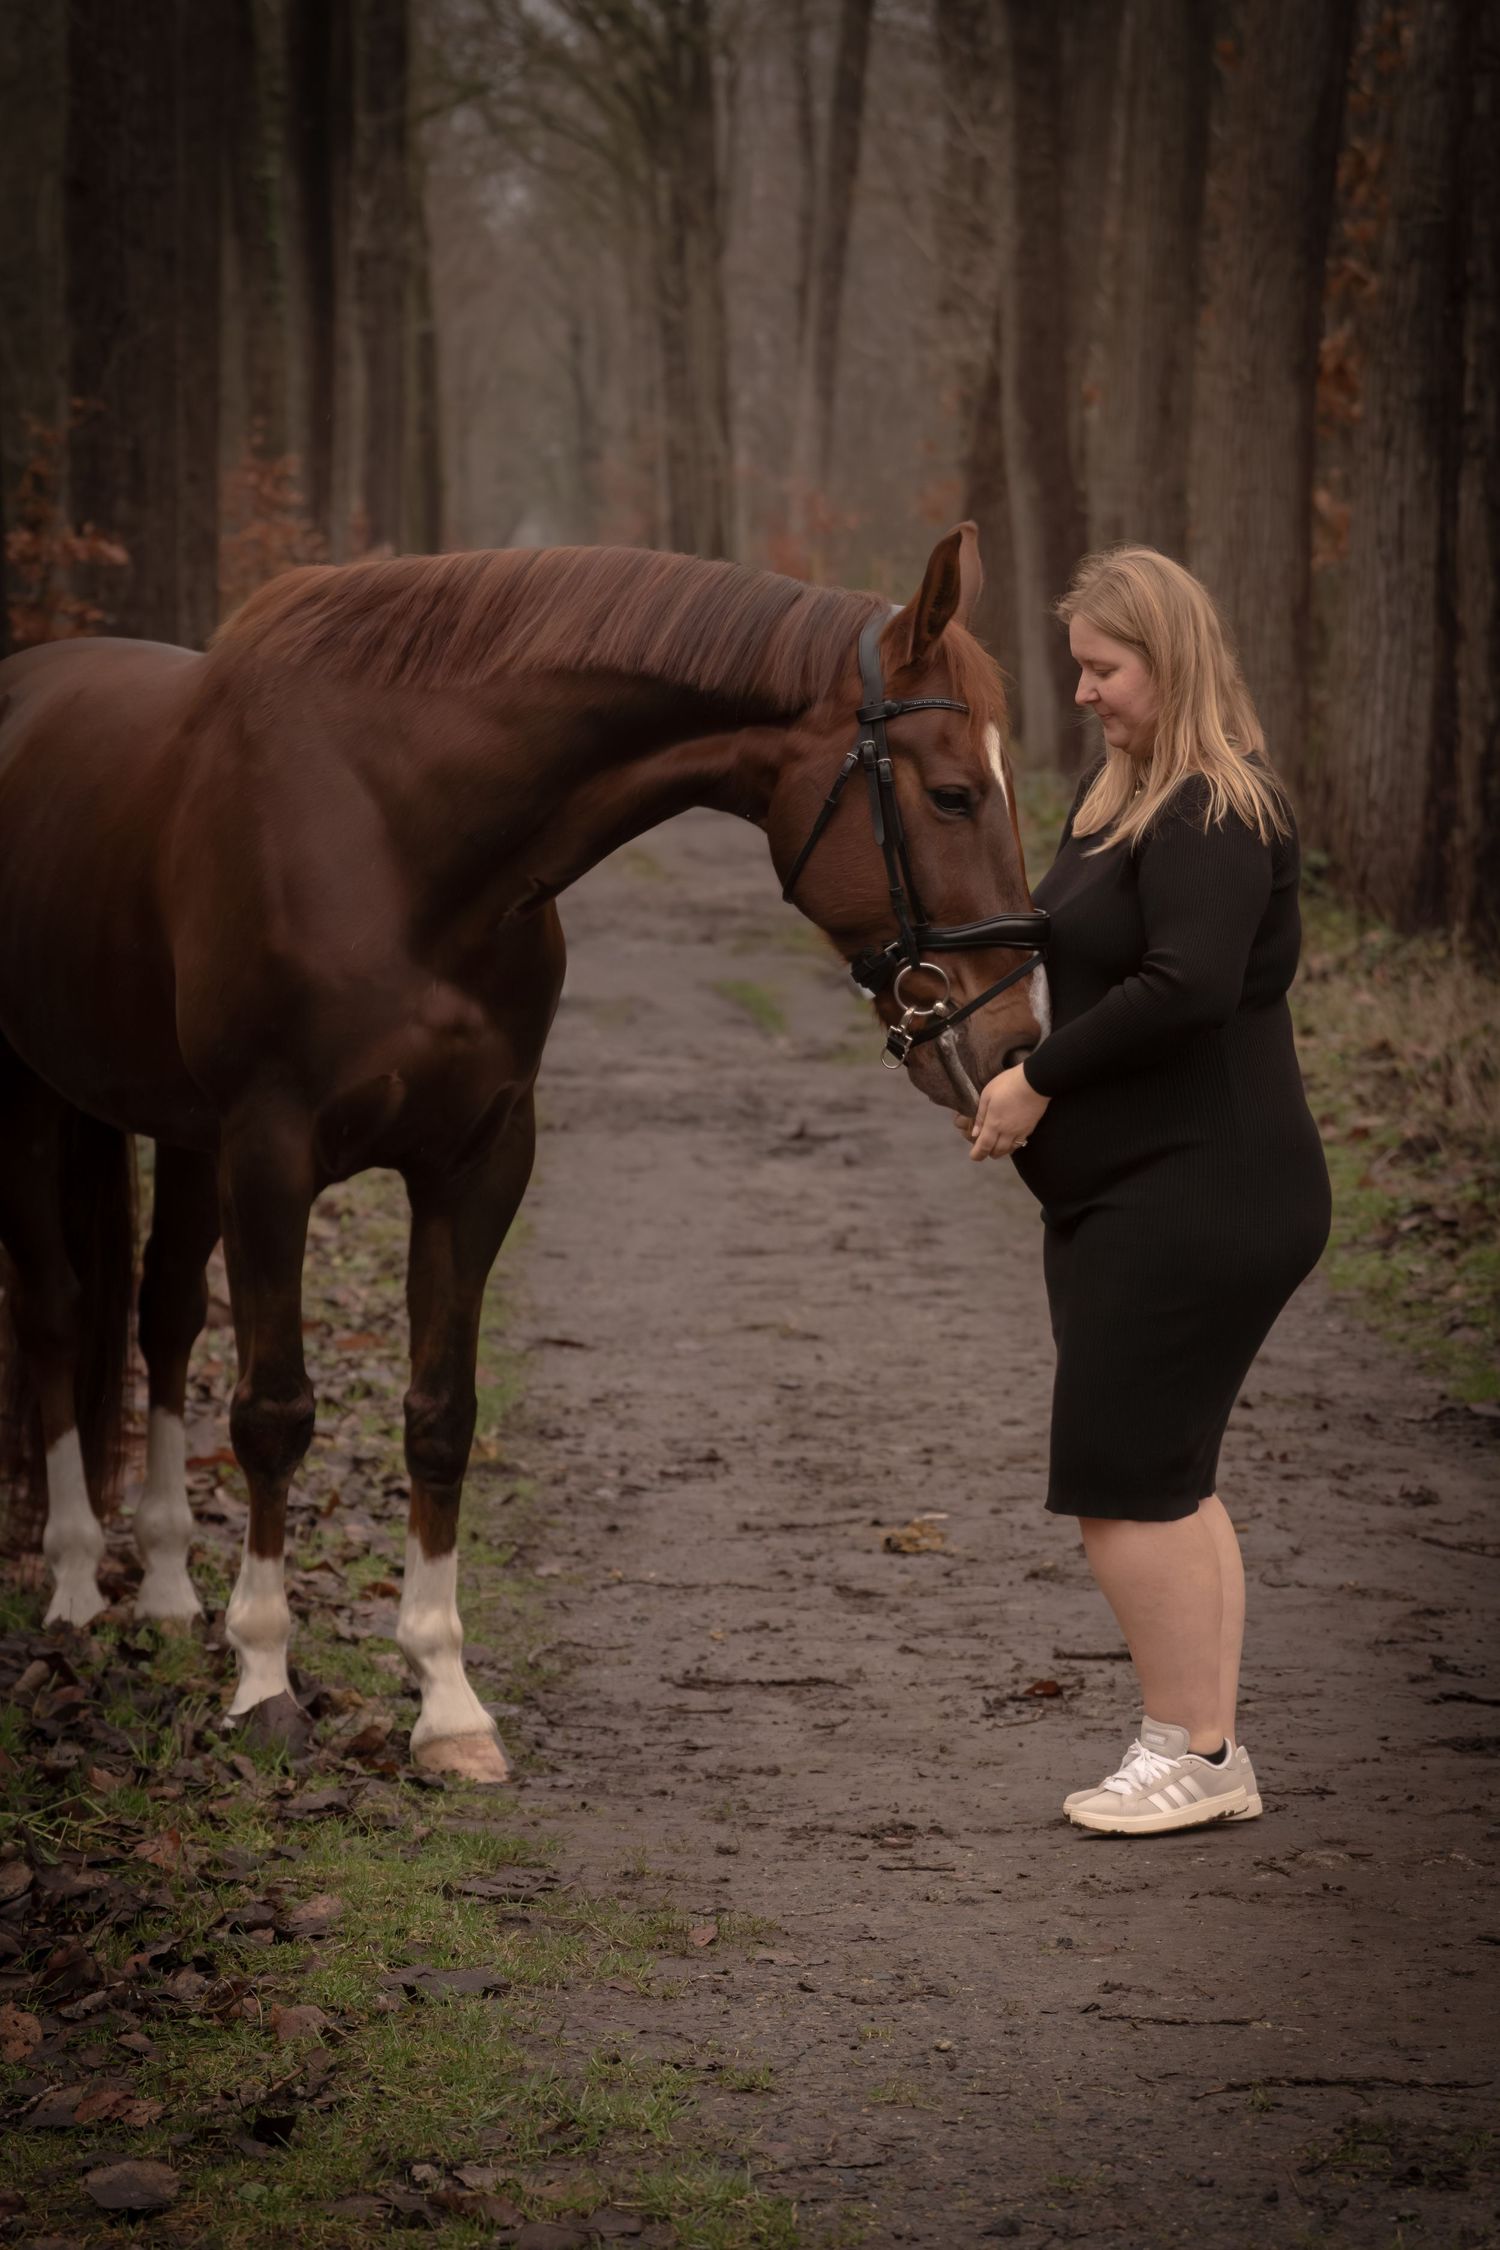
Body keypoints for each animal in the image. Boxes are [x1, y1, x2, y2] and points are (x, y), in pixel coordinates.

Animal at [0, 521, 1047, 1782]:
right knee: (58, 1312)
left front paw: (446, 1701)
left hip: (180, 1132)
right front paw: (263, 1682)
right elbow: (274, 1413)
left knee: (160, 1316)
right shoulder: (271, 1151)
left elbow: (442, 1413)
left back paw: (159, 1586)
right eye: (952, 794)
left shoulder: (480, 1159)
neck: (398, 836)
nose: (1016, 1041)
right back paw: (72, 1585)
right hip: (35, 1098)